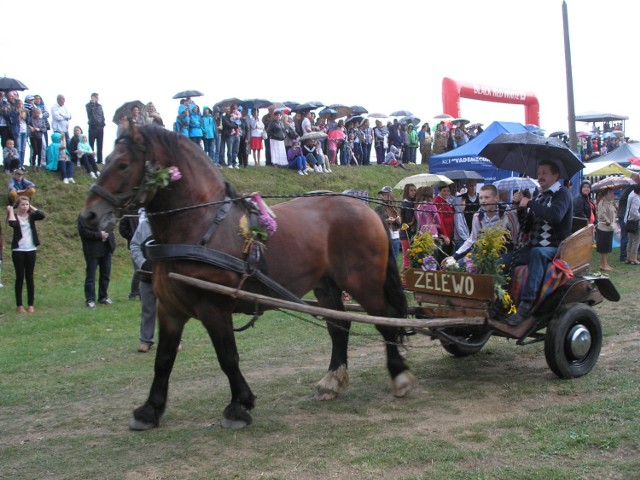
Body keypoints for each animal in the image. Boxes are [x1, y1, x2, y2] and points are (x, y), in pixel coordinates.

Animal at [81, 124, 416, 432]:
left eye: (123, 165)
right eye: (106, 159)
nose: (88, 217)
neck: (199, 226)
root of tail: (368, 210)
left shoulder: (214, 308)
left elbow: (228, 357)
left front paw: (239, 405)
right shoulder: (170, 309)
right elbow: (163, 359)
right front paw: (150, 410)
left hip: (362, 281)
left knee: (385, 320)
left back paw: (398, 374)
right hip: (327, 286)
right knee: (339, 327)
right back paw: (331, 381)